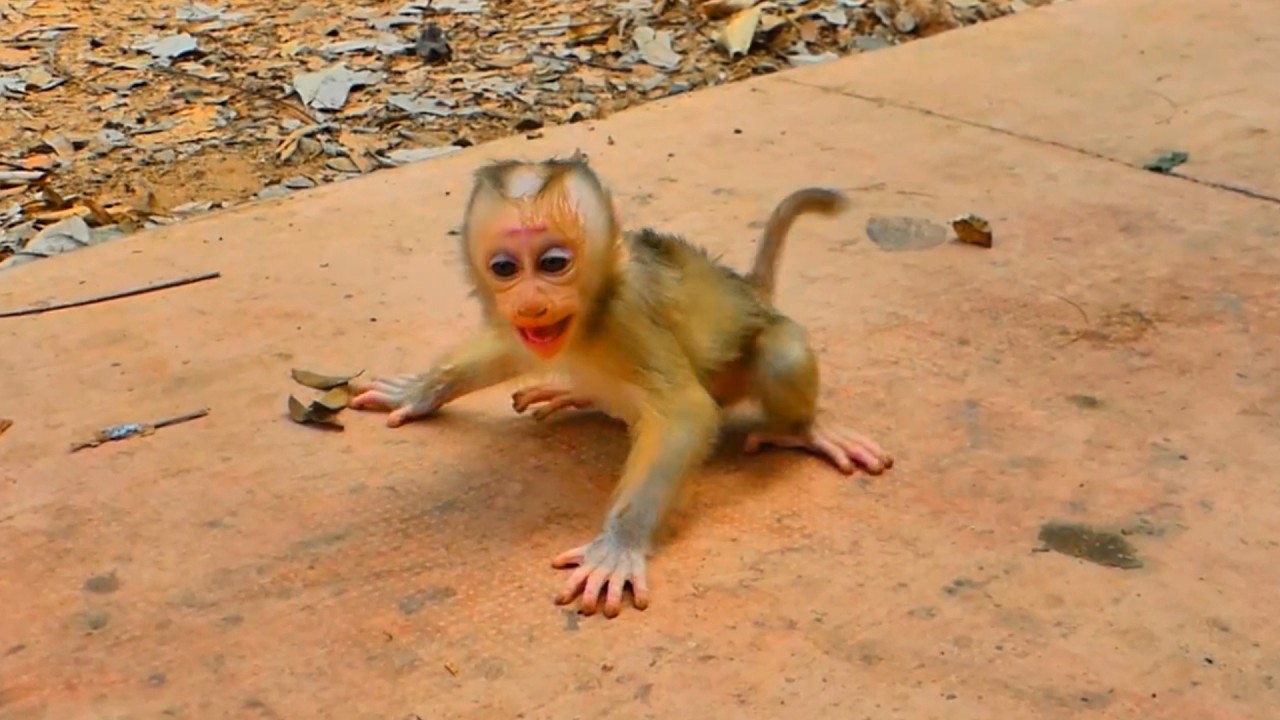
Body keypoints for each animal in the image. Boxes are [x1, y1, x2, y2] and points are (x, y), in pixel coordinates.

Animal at [348, 156, 894, 618]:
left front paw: (619, 546)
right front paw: (420, 390)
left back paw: (803, 429)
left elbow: (685, 412)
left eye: (553, 263)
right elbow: (508, 347)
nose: (531, 303)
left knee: (781, 357)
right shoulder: (529, 332)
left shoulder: (627, 315)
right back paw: (579, 394)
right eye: (505, 268)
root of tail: (750, 291)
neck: (589, 318)